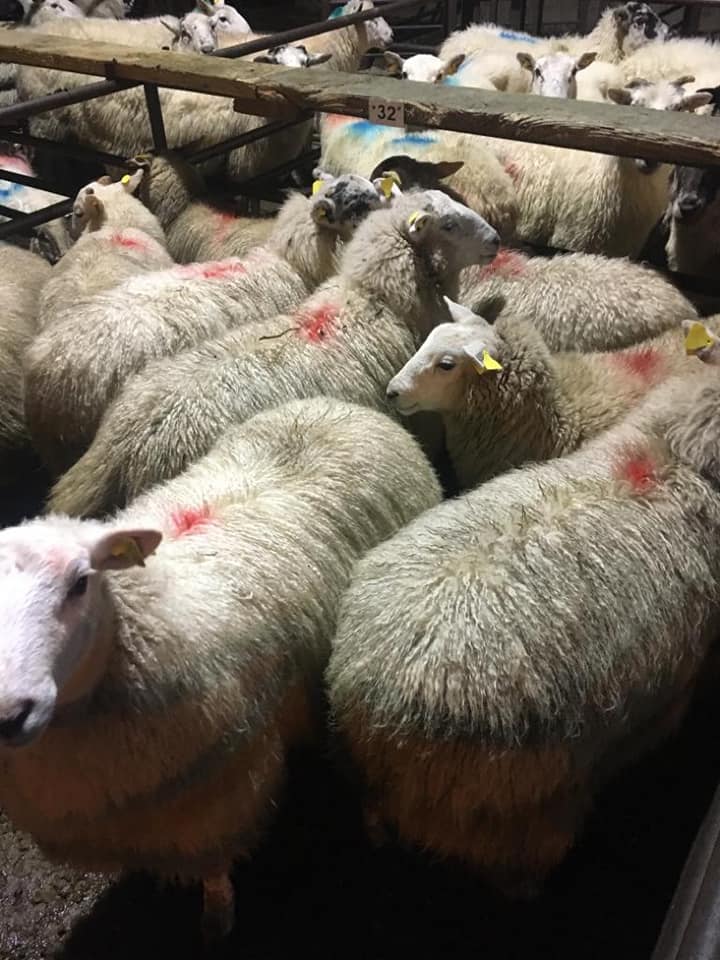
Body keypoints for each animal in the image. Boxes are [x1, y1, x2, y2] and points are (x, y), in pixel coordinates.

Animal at [0, 395, 441, 940]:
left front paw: (216, 918)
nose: (11, 713)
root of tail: (336, 406)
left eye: (80, 582)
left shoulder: (219, 797)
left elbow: (214, 867)